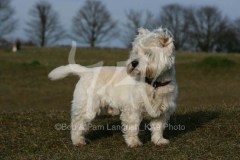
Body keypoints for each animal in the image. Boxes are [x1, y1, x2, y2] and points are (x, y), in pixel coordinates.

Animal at [48, 26, 177, 147]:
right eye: (135, 52)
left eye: (148, 53)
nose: (133, 63)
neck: (154, 84)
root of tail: (86, 71)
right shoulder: (133, 109)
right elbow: (132, 127)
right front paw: (134, 142)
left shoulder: (163, 111)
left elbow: (158, 127)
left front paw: (159, 140)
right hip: (87, 106)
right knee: (78, 122)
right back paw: (78, 141)